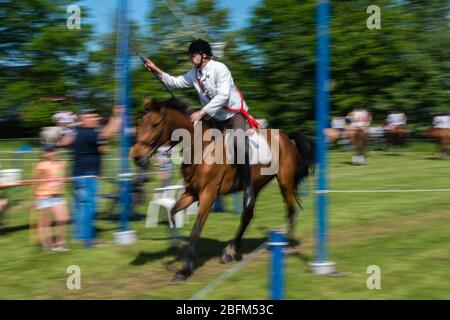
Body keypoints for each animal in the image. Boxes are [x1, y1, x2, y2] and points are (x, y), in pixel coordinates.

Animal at [128, 99, 314, 282]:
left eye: (155, 124)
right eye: (140, 124)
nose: (137, 156)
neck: (200, 147)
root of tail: (286, 137)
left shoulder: (208, 195)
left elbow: (195, 231)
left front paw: (184, 270)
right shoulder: (191, 193)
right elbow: (173, 212)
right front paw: (176, 247)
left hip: (285, 183)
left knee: (290, 211)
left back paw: (286, 243)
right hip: (256, 186)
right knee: (248, 216)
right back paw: (230, 252)